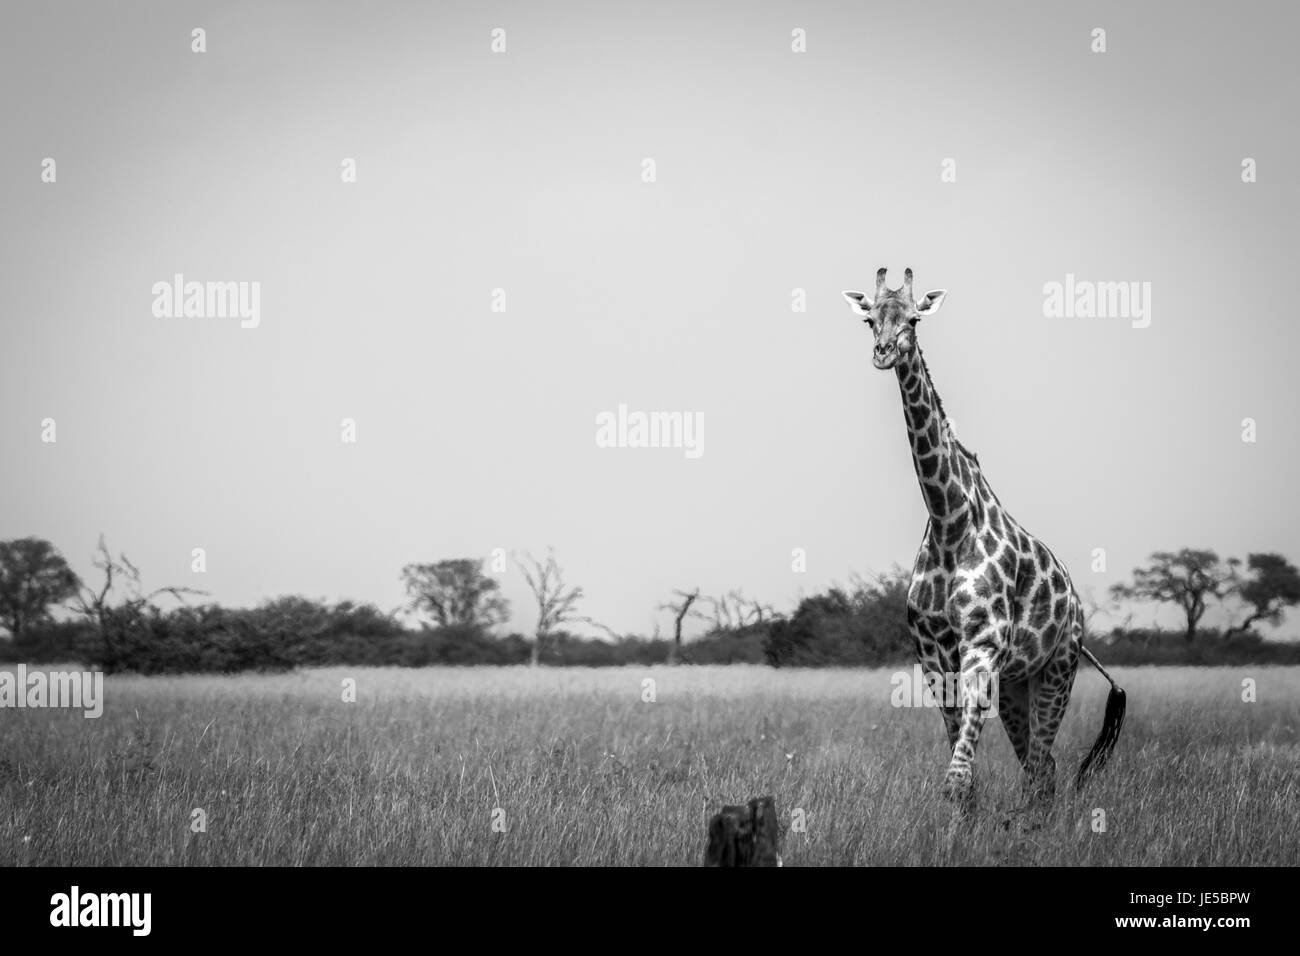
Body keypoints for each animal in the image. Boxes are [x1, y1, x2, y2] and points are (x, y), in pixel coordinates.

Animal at [842, 267, 1128, 816]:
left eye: (914, 319)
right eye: (869, 319)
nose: (884, 352)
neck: (949, 519)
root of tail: (1077, 606)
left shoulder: (983, 644)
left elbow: (957, 776)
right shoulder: (933, 655)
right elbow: (961, 768)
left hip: (1058, 668)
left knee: (1041, 766)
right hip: (1019, 683)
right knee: (1042, 768)